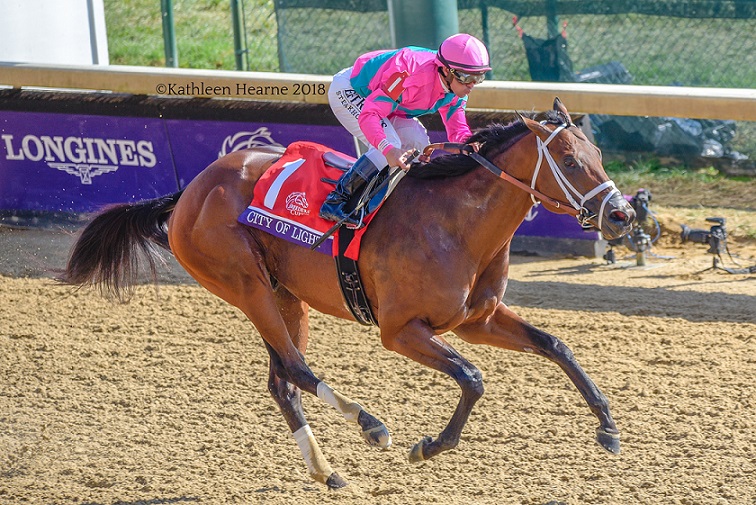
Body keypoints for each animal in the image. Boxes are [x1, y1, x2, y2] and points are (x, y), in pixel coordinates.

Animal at [61, 98, 635, 489]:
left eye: (599, 152)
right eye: (568, 158)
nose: (621, 215)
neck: (455, 224)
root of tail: (190, 190)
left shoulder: (479, 319)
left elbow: (557, 346)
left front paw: (608, 429)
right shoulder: (400, 330)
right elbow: (472, 378)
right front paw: (429, 445)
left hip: (285, 296)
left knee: (281, 380)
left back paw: (327, 471)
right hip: (244, 285)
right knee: (296, 369)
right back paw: (370, 424)